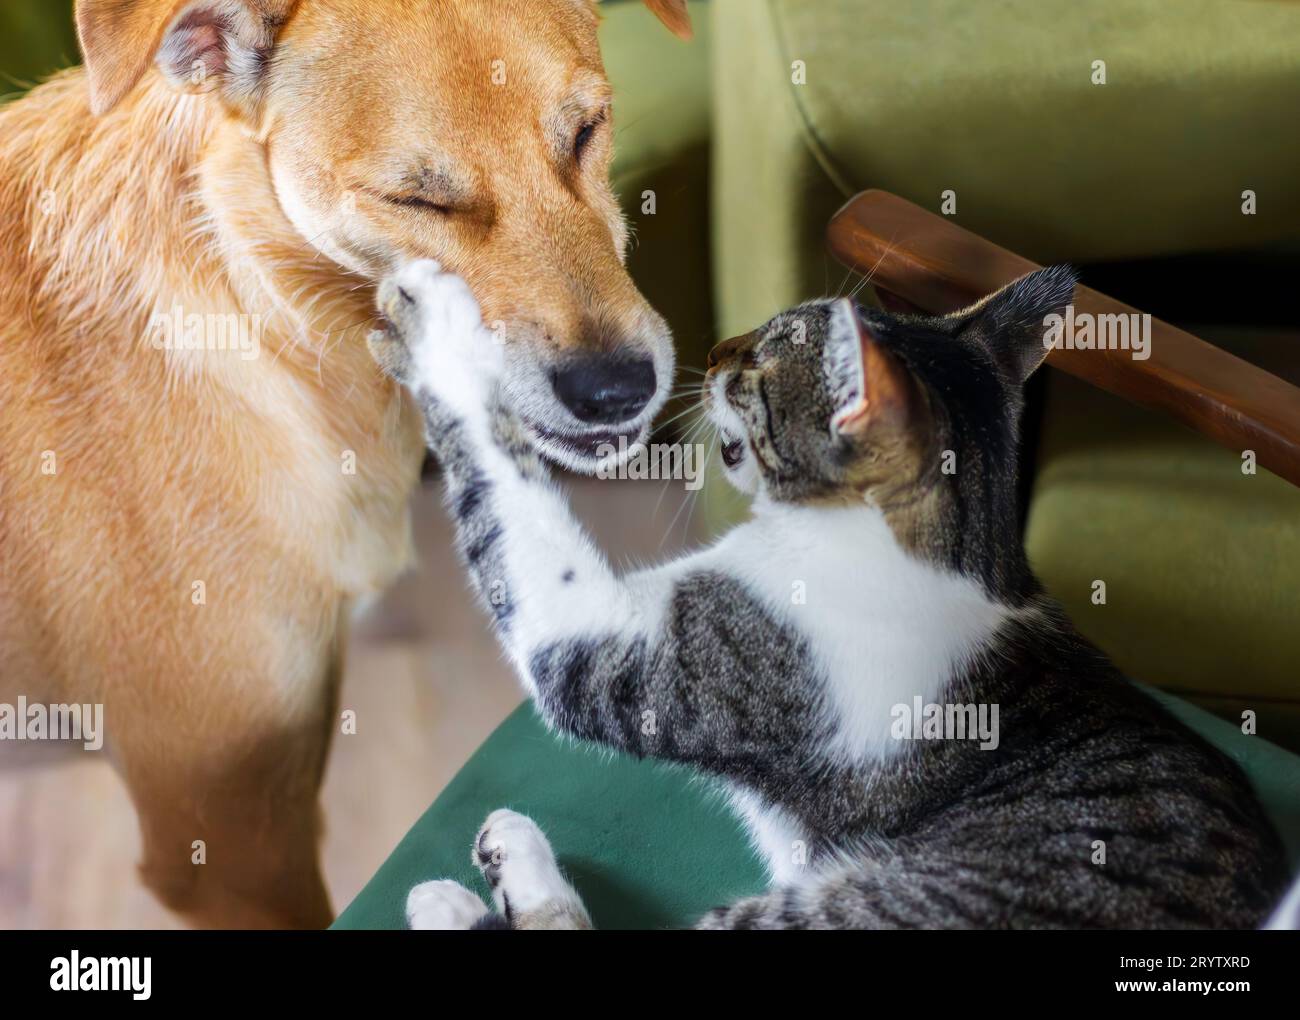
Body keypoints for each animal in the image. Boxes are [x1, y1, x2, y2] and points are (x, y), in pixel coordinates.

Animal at [369, 258, 1289, 925]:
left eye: (763, 357)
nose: (714, 349)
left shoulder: (628, 651)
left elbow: (511, 497)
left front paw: (439, 326)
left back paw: (466, 888)